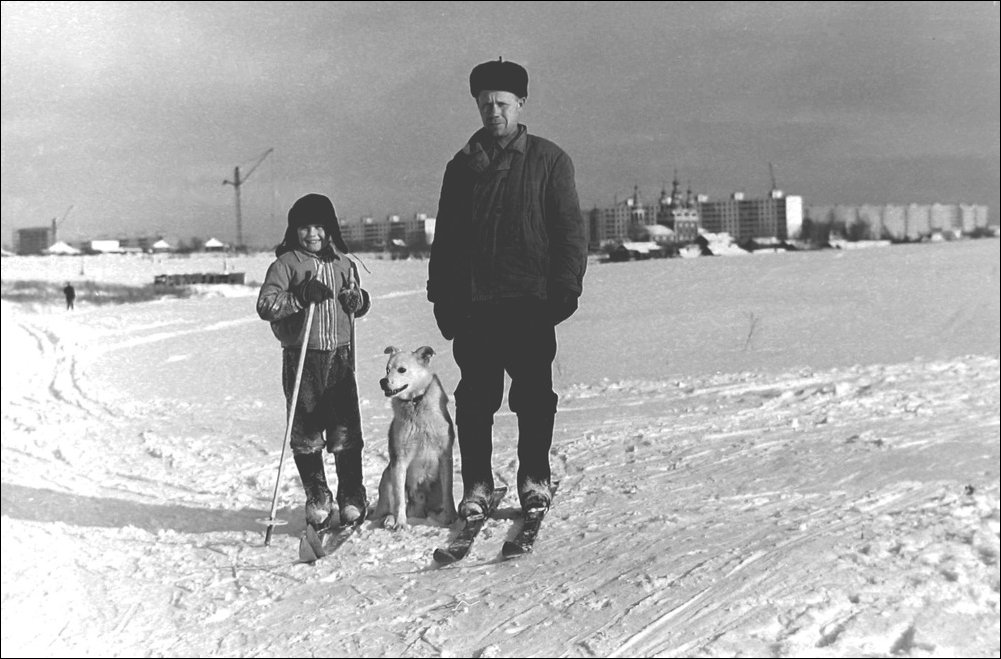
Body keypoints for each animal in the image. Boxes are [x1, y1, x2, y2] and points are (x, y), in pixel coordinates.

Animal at [372, 344, 458, 528]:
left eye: (402, 369)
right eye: (387, 369)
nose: (382, 381)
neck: (415, 403)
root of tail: (418, 507)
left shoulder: (445, 456)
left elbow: (449, 493)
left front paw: (451, 518)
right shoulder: (399, 460)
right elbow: (399, 500)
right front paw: (400, 524)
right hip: (388, 476)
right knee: (394, 505)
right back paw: (390, 520)